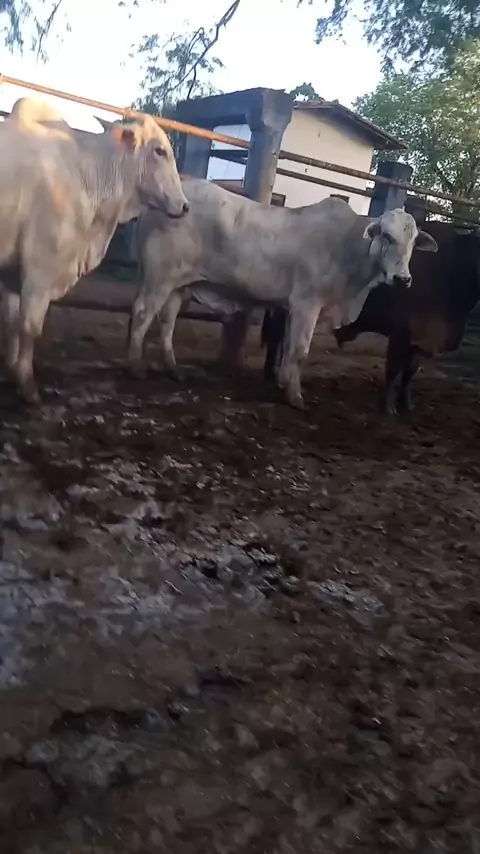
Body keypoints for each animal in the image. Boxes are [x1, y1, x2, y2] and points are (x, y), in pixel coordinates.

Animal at [0, 96, 189, 403]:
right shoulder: (40, 269)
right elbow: (30, 327)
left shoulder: (12, 275)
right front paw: (28, 386)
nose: (184, 206)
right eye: (159, 150)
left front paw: (10, 372)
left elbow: (12, 325)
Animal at [127, 177, 437, 408]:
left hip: (178, 284)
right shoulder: (307, 303)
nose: (402, 278)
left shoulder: (293, 308)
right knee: (142, 313)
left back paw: (173, 370)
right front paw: (294, 396)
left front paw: (281, 383)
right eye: (387, 235)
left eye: (412, 241)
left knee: (166, 321)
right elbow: (299, 350)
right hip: (159, 277)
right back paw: (135, 367)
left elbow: (288, 348)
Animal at [261, 220, 480, 414]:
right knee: (276, 337)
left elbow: (410, 372)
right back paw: (271, 375)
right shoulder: (400, 333)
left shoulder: (418, 339)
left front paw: (406, 404)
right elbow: (393, 370)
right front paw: (389, 407)